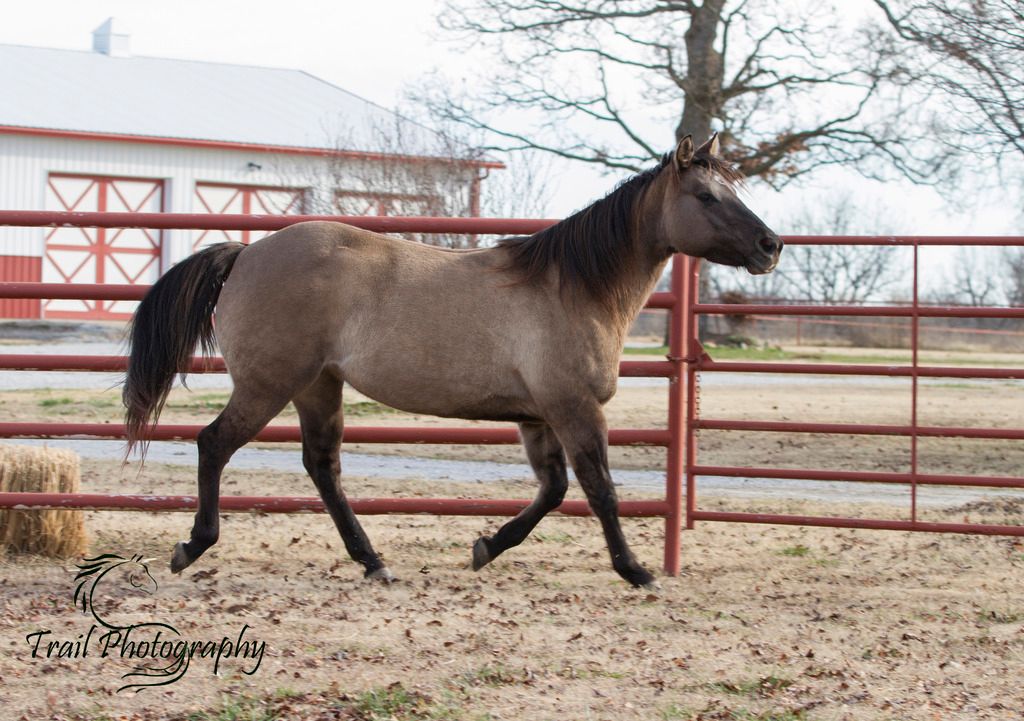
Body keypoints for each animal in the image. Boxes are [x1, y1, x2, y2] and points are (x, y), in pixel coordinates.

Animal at [122, 134, 781, 590]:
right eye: (705, 196)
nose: (771, 246)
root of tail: (245, 253)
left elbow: (553, 490)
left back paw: (373, 562)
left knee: (322, 467)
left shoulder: (538, 417)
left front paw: (487, 546)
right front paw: (636, 570)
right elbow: (600, 489)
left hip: (318, 387)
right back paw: (192, 547)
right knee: (214, 444)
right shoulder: (573, 409)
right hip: (268, 385)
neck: (571, 287)